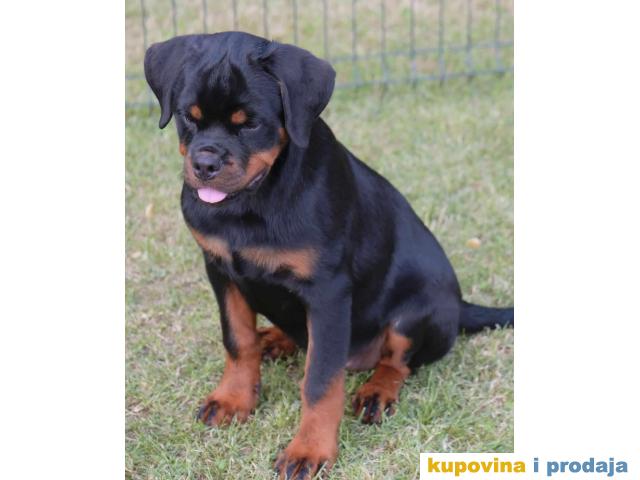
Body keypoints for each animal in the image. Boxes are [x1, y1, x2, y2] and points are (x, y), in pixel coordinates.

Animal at [144, 31, 513, 479]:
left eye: (250, 123)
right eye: (188, 116)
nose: (205, 163)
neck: (251, 205)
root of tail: (460, 305)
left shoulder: (328, 293)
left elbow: (320, 380)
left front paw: (310, 450)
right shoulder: (220, 270)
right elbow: (237, 340)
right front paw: (233, 399)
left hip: (417, 311)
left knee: (397, 362)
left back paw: (376, 392)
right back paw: (275, 339)